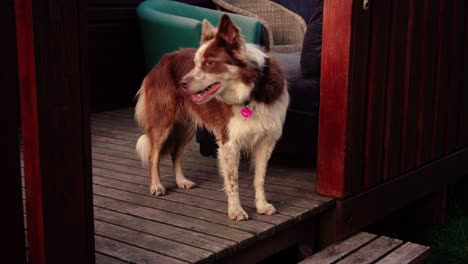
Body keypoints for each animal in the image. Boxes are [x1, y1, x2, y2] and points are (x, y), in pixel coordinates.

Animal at [134, 14, 288, 221]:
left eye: (208, 63)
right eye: (196, 63)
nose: (181, 83)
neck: (251, 92)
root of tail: (163, 60)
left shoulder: (266, 140)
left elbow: (259, 178)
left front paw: (262, 205)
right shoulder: (229, 142)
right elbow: (233, 180)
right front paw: (236, 210)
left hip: (186, 127)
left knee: (176, 153)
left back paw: (182, 181)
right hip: (163, 122)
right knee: (153, 155)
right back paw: (156, 186)